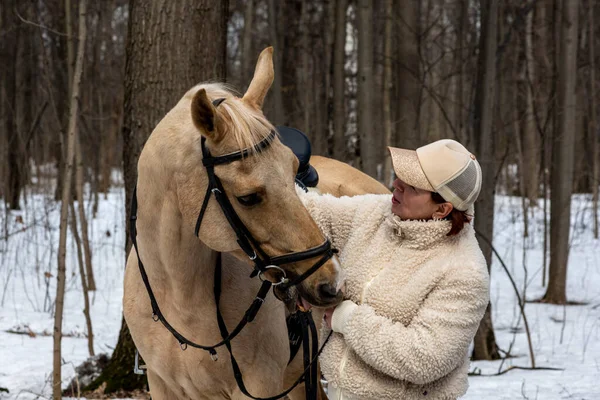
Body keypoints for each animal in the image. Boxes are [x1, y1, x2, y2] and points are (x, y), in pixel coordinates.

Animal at [123, 47, 390, 400]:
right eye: (248, 198)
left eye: (293, 173)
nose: (331, 284)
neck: (181, 296)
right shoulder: (162, 385)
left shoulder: (258, 385)